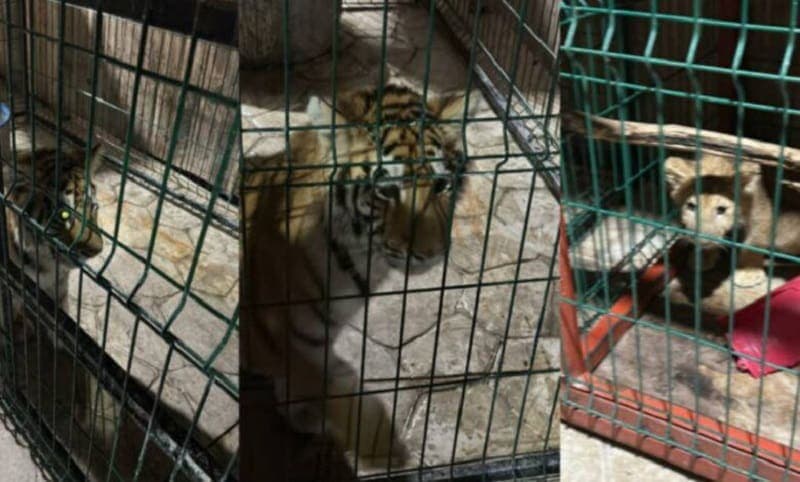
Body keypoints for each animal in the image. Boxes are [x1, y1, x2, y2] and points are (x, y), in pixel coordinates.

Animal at [3, 132, 105, 343]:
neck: (44, 261)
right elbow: (11, 299)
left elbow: (60, 306)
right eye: (63, 214)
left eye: (93, 207)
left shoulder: (59, 280)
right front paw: (17, 326)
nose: (96, 250)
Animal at [242, 84, 478, 471]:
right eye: (386, 190)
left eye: (442, 185)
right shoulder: (283, 332)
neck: (362, 259)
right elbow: (334, 385)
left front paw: (301, 413)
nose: (431, 253)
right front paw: (383, 444)